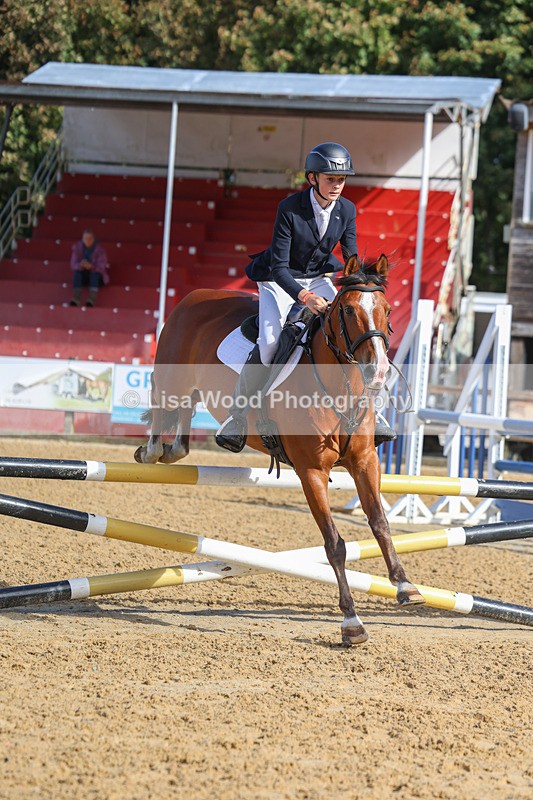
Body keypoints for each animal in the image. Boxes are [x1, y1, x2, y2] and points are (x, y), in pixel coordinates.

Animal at [135, 254, 425, 645]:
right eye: (348, 310)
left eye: (388, 310)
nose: (376, 371)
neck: (338, 387)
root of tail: (195, 295)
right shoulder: (311, 472)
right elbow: (334, 544)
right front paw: (351, 622)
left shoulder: (365, 461)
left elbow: (380, 522)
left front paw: (406, 586)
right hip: (171, 377)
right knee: (162, 405)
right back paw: (151, 452)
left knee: (184, 417)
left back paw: (174, 448)